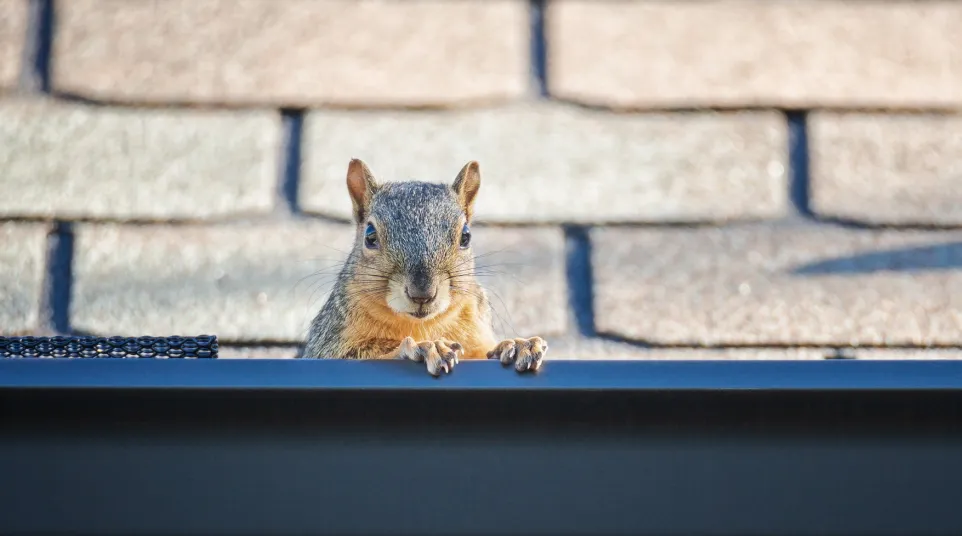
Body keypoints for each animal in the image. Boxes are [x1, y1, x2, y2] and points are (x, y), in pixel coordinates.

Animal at [306, 158, 548, 376]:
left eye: (466, 236)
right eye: (370, 236)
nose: (422, 293)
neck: (422, 324)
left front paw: (516, 345)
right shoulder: (328, 344)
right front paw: (423, 347)